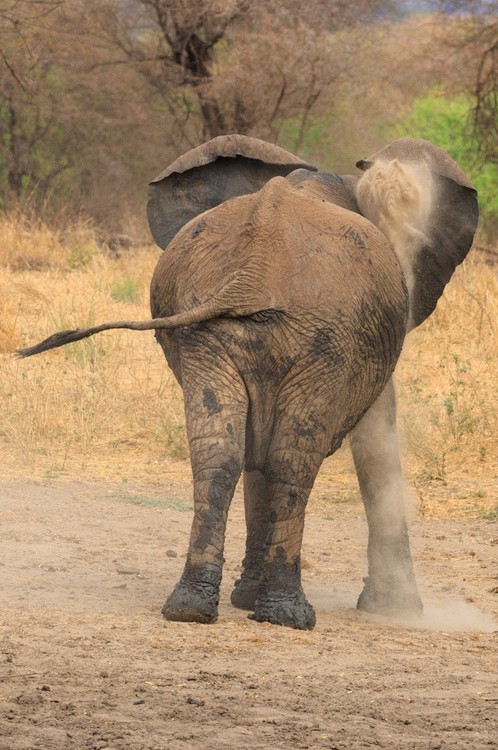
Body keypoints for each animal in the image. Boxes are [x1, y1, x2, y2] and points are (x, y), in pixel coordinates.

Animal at [18, 134, 478, 630]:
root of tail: (256, 265)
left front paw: (244, 599)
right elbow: (375, 436)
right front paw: (396, 609)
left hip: (210, 331)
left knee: (219, 449)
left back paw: (190, 607)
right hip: (324, 338)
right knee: (290, 459)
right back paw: (288, 615)